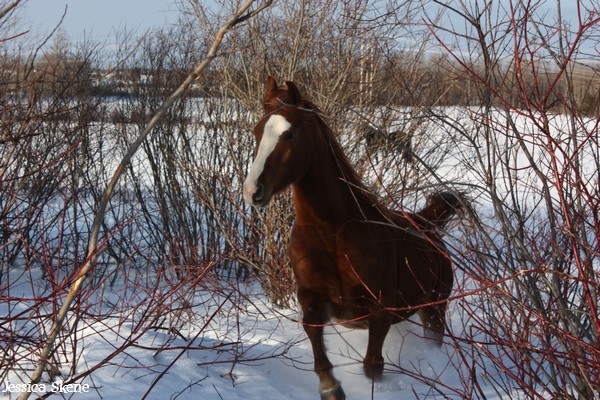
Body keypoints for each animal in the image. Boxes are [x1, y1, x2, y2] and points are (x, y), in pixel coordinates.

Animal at [241, 76, 462, 398]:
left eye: (289, 133)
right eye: (257, 131)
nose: (252, 191)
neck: (331, 233)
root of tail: (426, 224)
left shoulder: (380, 310)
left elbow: (373, 366)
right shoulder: (312, 297)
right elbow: (314, 338)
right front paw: (331, 388)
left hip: (434, 310)